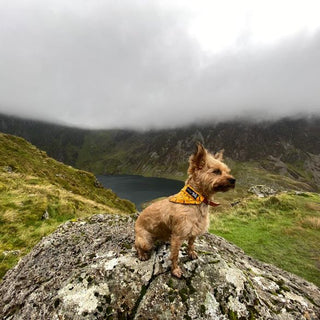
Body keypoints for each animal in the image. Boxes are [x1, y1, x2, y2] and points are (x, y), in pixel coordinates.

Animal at [134, 142, 234, 278]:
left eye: (227, 171)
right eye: (216, 171)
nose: (233, 180)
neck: (196, 199)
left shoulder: (194, 231)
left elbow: (191, 244)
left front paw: (191, 253)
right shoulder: (178, 236)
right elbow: (175, 255)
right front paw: (175, 270)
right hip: (145, 242)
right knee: (137, 246)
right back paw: (142, 254)